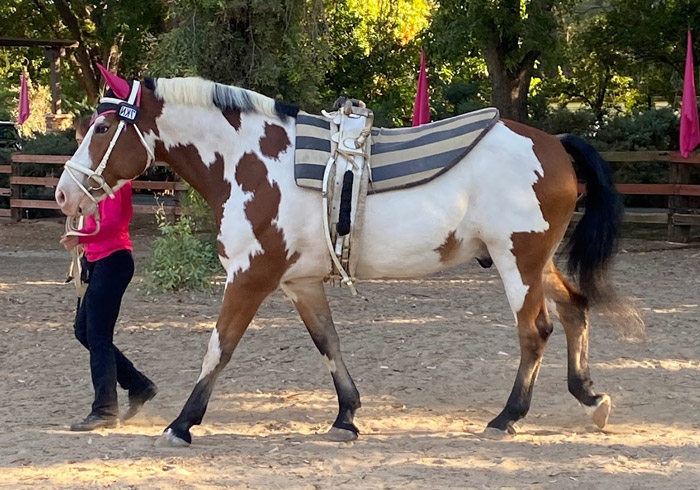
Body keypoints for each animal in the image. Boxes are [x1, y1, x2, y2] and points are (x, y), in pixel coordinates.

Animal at [56, 69, 626, 448]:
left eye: (102, 129)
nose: (64, 195)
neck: (254, 162)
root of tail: (554, 145)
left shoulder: (249, 277)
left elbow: (220, 347)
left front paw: (182, 423)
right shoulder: (300, 283)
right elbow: (328, 343)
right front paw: (346, 416)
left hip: (518, 263)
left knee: (535, 332)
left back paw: (508, 417)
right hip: (535, 263)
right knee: (575, 308)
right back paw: (590, 398)